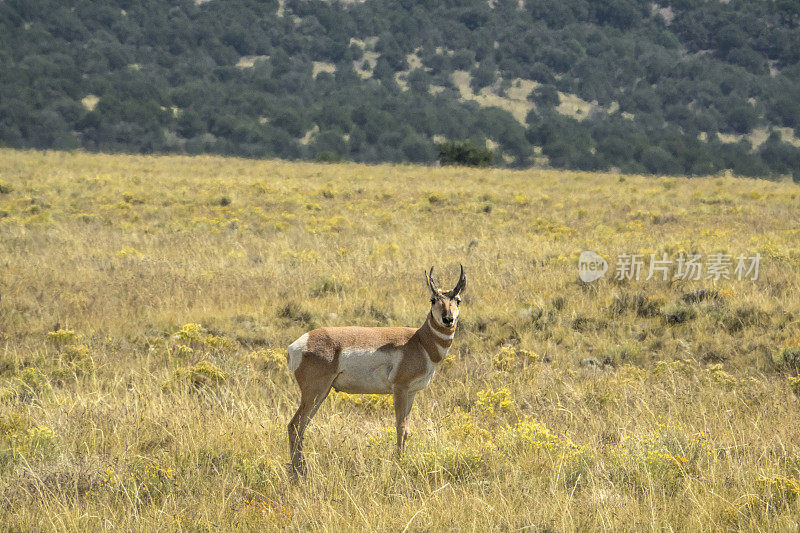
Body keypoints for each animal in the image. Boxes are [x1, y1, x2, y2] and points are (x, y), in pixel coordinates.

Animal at [288, 264, 466, 472]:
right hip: (315, 393)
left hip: (321, 394)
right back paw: (299, 472)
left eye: (458, 300)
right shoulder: (400, 389)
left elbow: (407, 429)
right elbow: (400, 426)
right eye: (433, 299)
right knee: (294, 425)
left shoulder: (411, 393)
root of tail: (300, 343)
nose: (448, 319)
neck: (419, 341)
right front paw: (399, 462)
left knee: (301, 427)